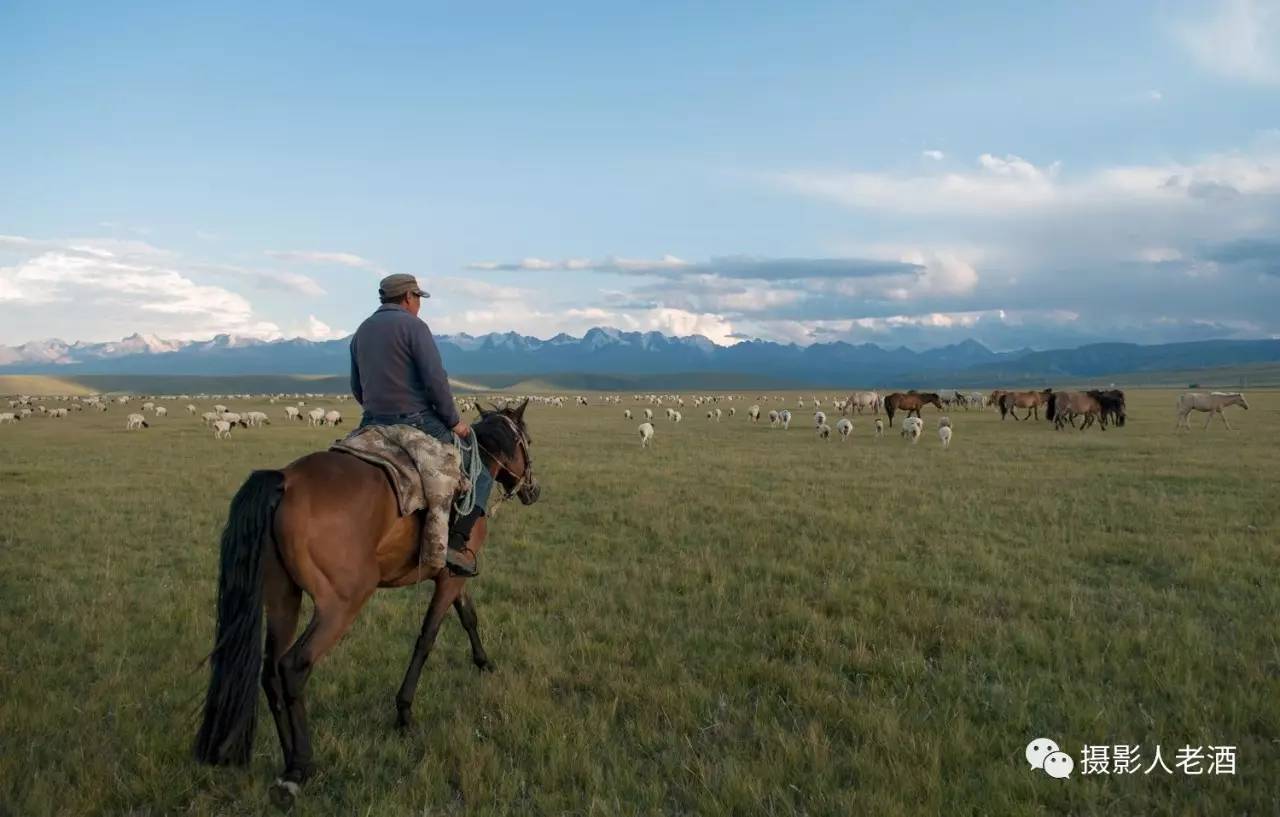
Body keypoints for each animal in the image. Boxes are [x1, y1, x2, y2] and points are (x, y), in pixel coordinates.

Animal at [193, 399, 540, 809]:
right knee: (294, 666)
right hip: (343, 603)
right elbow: (427, 638)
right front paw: (404, 712)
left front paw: (484, 663)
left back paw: (288, 759)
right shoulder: (450, 577)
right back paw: (300, 767)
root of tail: (285, 481)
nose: (533, 490)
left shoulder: (453, 574)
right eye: (527, 440)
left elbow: (468, 616)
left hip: (282, 598)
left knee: (271, 672)